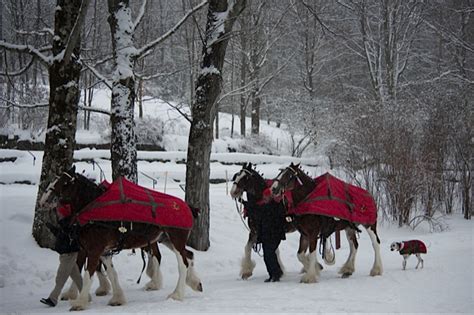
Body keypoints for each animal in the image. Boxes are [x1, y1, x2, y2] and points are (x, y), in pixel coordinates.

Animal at [39, 168, 203, 312]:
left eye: (65, 183)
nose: (43, 200)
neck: (93, 210)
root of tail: (188, 206)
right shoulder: (103, 251)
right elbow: (112, 273)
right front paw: (118, 298)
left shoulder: (93, 250)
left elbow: (87, 274)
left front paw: (80, 302)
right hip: (166, 239)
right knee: (189, 255)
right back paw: (194, 283)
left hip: (176, 239)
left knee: (182, 263)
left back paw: (176, 294)